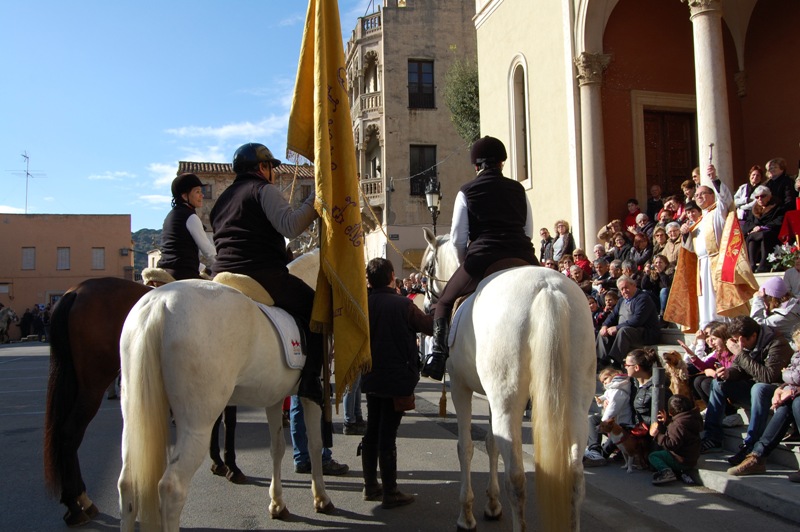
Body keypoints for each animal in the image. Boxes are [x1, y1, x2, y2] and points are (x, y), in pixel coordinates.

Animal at [42, 278, 242, 528]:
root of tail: (77, 291)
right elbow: (228, 422)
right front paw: (230, 466)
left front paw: (219, 462)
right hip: (92, 386)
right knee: (69, 433)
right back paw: (76, 503)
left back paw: (78, 501)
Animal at [115, 250, 328, 532]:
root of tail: (158, 306)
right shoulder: (309, 395)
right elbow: (315, 443)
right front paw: (321, 498)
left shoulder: (273, 398)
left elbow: (277, 447)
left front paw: (277, 503)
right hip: (197, 425)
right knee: (171, 488)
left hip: (134, 417)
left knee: (128, 484)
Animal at [422, 229, 596, 532]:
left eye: (428, 268)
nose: (424, 304)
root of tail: (547, 289)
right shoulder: (491, 397)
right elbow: (491, 443)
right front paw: (492, 504)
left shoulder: (460, 387)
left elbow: (466, 447)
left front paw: (466, 515)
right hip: (575, 406)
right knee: (575, 478)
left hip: (507, 401)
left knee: (516, 478)